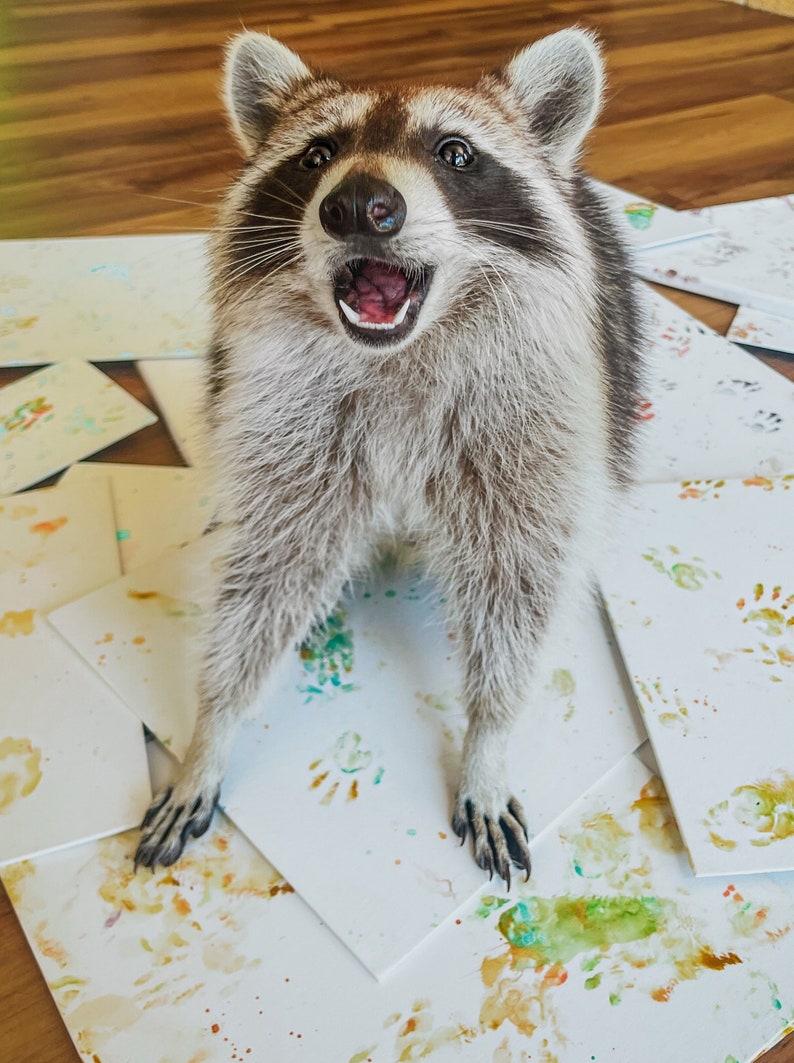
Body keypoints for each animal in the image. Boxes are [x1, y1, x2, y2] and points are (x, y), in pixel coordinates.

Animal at [135, 27, 644, 885]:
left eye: (455, 152)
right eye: (318, 155)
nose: (359, 205)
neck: (399, 353)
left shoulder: (533, 421)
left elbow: (517, 583)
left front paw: (489, 740)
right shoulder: (287, 424)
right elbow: (266, 572)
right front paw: (213, 729)